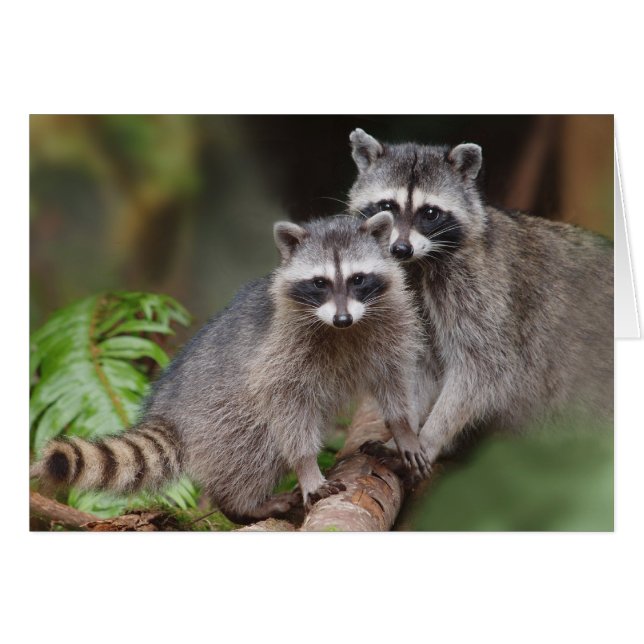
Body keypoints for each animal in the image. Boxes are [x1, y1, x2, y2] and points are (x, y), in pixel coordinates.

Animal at [31, 212, 428, 522]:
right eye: (320, 283)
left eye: (358, 279)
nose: (343, 318)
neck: (342, 328)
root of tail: (169, 407)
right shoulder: (281, 352)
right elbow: (285, 403)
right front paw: (307, 468)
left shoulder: (389, 324)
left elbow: (394, 377)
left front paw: (403, 430)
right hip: (220, 414)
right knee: (257, 442)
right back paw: (242, 503)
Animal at [348, 128, 613, 464]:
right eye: (386, 206)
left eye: (430, 213)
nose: (400, 249)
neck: (419, 263)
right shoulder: (412, 300)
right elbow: (420, 368)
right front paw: (406, 434)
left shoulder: (481, 292)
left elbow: (482, 369)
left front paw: (430, 437)